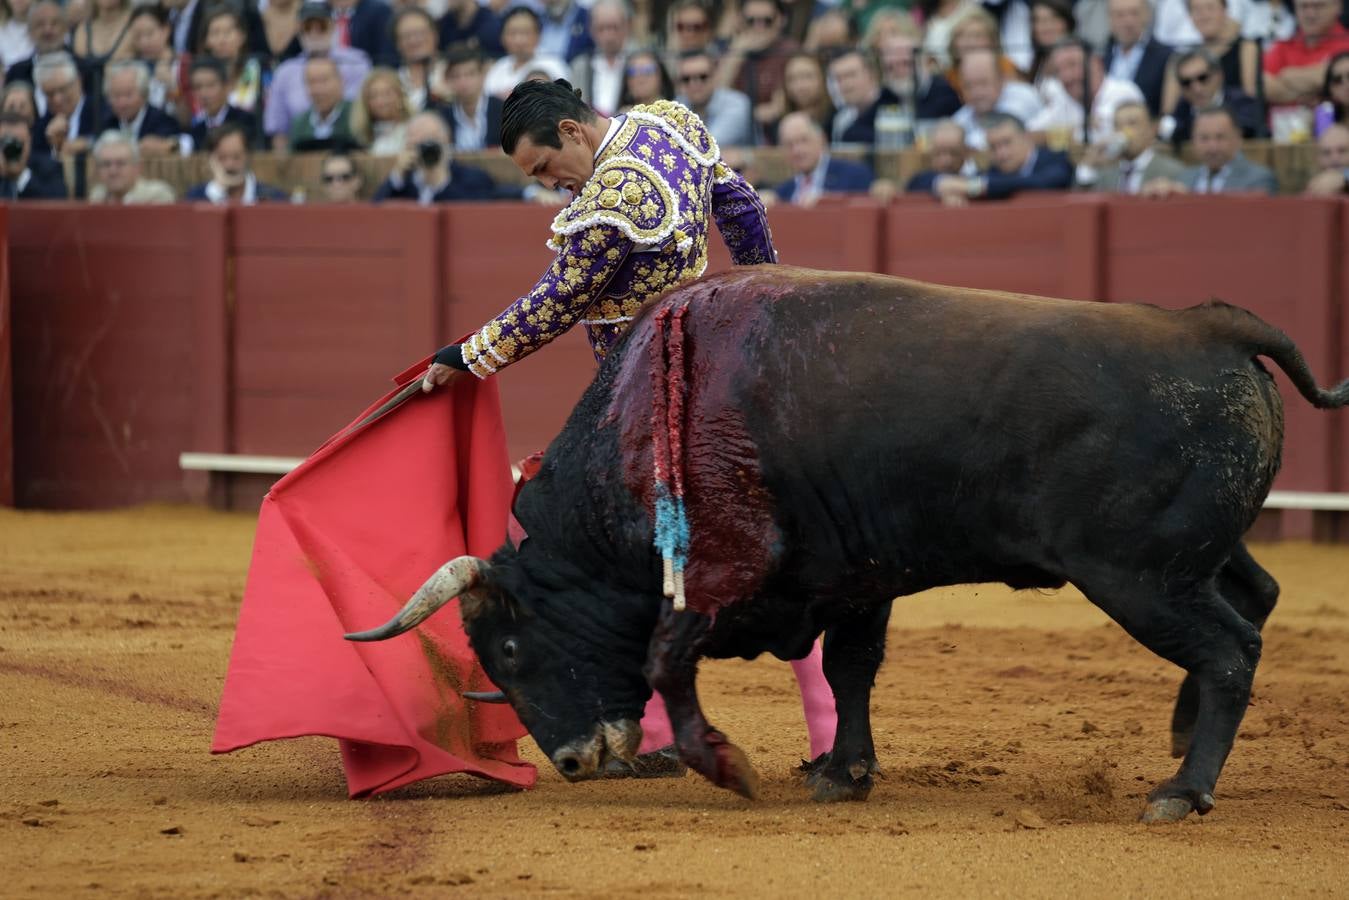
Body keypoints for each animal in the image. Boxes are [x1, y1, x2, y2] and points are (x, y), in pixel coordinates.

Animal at [348, 265, 1349, 825]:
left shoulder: (726, 572)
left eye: (512, 649)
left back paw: (1181, 788)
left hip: (1137, 576)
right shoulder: (856, 577)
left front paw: (731, 767)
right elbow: (848, 668)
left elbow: (670, 656)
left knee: (1229, 650)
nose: (570, 761)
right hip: (1194, 557)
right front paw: (842, 771)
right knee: (1255, 601)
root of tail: (1211, 324)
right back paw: (1180, 739)